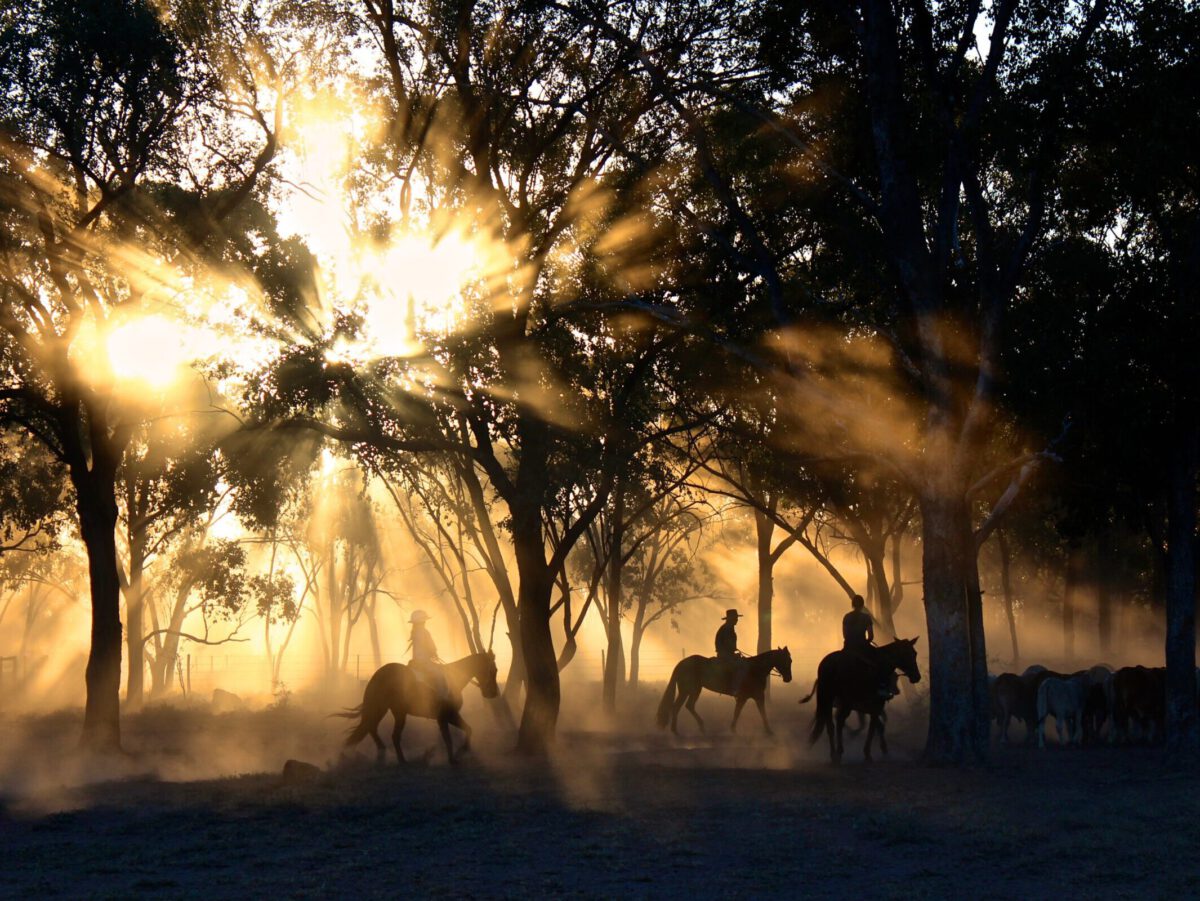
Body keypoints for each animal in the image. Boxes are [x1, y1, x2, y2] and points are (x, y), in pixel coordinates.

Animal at [338, 652, 501, 763]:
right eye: (493, 670)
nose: (492, 693)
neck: (453, 679)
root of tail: (378, 675)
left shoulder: (449, 717)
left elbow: (467, 729)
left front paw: (462, 750)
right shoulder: (446, 717)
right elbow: (449, 737)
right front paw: (454, 757)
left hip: (387, 710)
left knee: (372, 728)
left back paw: (384, 752)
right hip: (394, 712)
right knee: (391, 734)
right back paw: (401, 760)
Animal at [652, 647, 792, 734]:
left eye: (790, 660)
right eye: (786, 660)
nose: (788, 679)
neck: (754, 669)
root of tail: (681, 663)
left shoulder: (750, 697)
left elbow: (741, 712)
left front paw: (734, 728)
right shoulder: (753, 696)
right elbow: (755, 712)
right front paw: (768, 731)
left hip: (691, 690)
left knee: (684, 706)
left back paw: (691, 728)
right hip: (689, 690)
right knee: (681, 706)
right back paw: (681, 729)